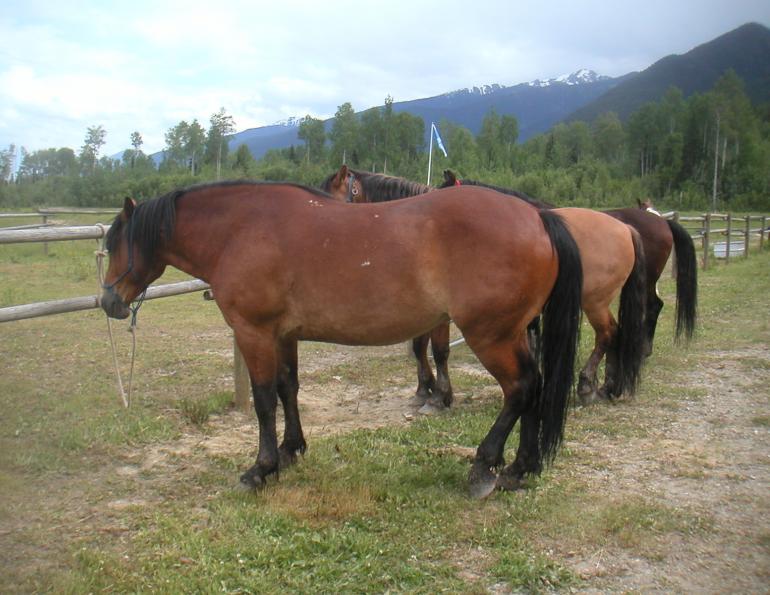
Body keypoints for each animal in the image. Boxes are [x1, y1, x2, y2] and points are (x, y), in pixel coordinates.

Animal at [101, 181, 583, 498]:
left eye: (113, 245)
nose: (108, 301)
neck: (241, 229)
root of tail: (537, 216)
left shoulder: (254, 332)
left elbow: (263, 400)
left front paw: (261, 469)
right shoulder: (283, 336)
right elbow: (287, 388)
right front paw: (291, 450)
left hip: (491, 335)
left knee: (520, 388)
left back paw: (485, 467)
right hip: (514, 332)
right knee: (536, 387)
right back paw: (520, 468)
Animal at [323, 166, 648, 407]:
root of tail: (624, 227)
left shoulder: (442, 315)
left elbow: (439, 349)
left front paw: (440, 395)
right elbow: (419, 346)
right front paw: (424, 389)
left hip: (595, 302)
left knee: (607, 334)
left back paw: (587, 385)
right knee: (615, 333)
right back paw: (608, 386)